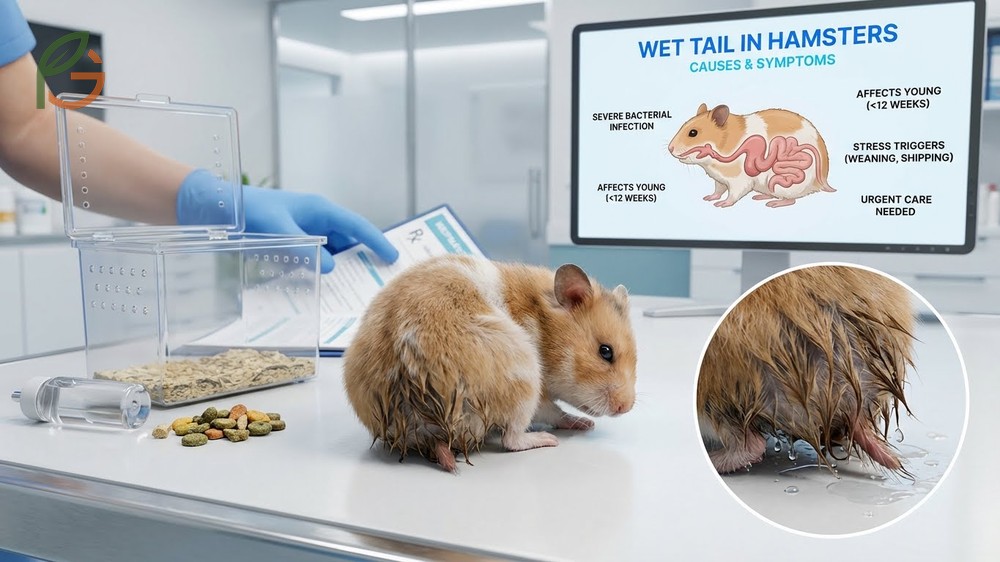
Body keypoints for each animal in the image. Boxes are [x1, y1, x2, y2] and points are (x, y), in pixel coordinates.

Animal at [342, 254, 637, 472]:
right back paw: (549, 439)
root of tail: (413, 392)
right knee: (513, 438)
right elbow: (552, 411)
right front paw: (583, 425)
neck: (541, 323)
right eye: (605, 351)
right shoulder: (541, 394)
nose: (625, 408)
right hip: (524, 379)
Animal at [668, 103, 836, 208]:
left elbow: (732, 195)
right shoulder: (719, 180)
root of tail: (822, 181)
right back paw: (761, 197)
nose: (669, 148)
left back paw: (774, 204)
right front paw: (709, 198)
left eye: (693, 133)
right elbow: (718, 190)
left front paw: (722, 204)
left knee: (791, 199)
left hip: (783, 184)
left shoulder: (739, 181)